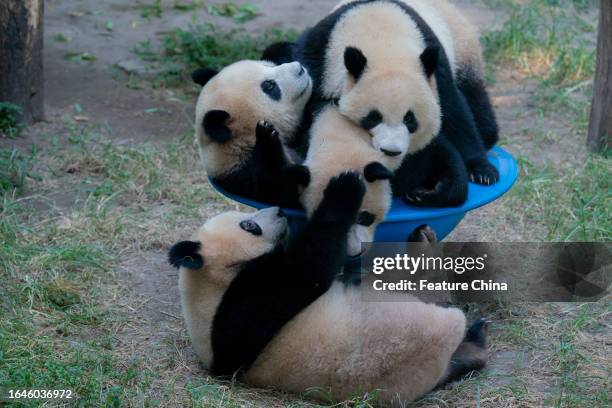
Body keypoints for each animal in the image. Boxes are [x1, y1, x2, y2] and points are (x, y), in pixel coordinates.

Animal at [170, 171, 490, 404]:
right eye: (249, 226)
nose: (279, 212)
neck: (208, 283)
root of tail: (444, 336)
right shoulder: (241, 303)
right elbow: (309, 267)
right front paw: (344, 187)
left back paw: (474, 343)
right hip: (390, 306)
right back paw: (423, 246)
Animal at [192, 59, 316, 207]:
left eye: (267, 65)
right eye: (269, 86)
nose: (300, 68)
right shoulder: (245, 179)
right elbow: (280, 190)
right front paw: (267, 137)